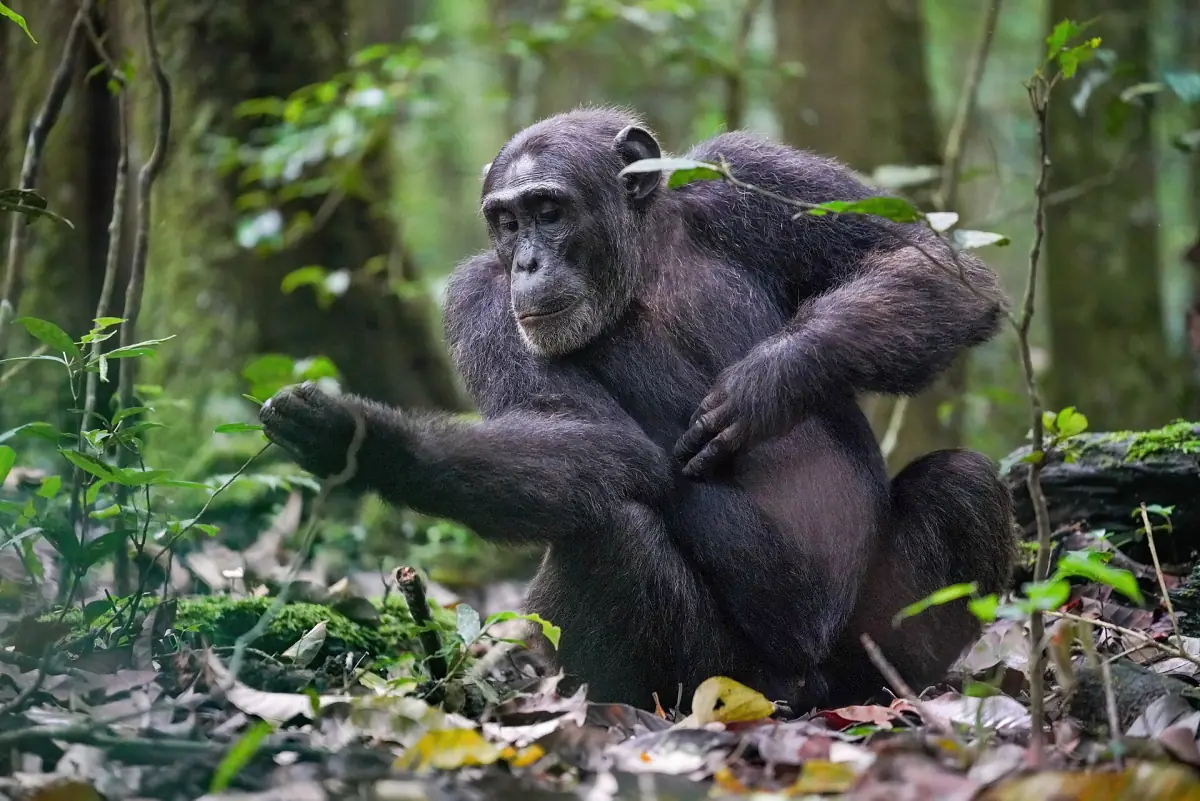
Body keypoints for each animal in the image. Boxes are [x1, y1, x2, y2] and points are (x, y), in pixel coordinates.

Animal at [260, 106, 1017, 712]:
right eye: (505, 221)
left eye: (548, 211)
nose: (526, 262)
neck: (640, 258)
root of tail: (804, 692)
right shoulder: (478, 299)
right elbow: (585, 435)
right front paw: (371, 439)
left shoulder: (752, 171)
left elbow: (929, 265)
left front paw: (766, 384)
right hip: (724, 675)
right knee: (606, 528)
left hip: (852, 642)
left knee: (964, 482)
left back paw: (897, 690)